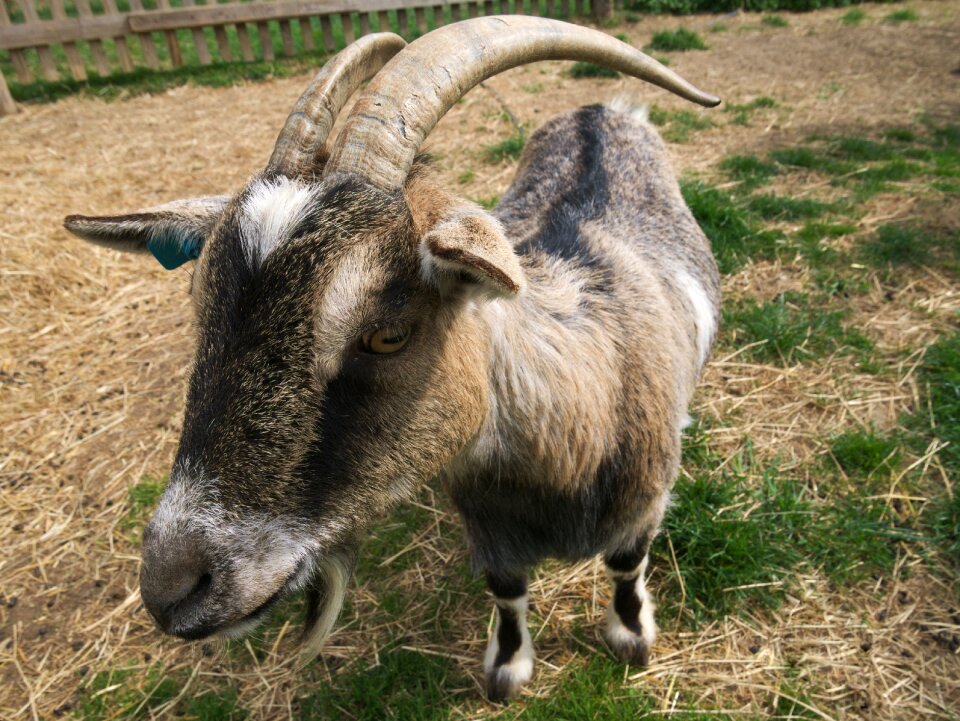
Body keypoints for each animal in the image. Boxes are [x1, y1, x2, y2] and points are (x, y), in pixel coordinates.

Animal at [65, 16, 720, 700]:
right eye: (203, 307)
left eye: (389, 335)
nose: (174, 591)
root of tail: (600, 108)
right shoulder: (489, 532)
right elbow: (507, 591)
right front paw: (508, 666)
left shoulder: (641, 507)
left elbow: (625, 566)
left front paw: (631, 636)